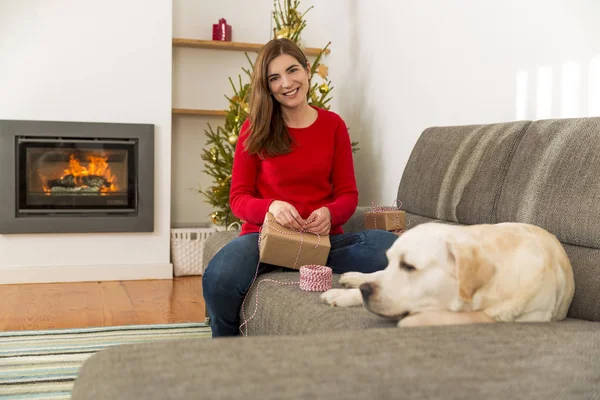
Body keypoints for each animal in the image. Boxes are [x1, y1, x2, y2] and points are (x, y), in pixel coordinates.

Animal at [322, 222, 576, 328]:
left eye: (408, 266)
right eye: (393, 261)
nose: (365, 291)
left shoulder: (532, 315)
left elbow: (468, 317)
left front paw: (414, 319)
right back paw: (349, 283)